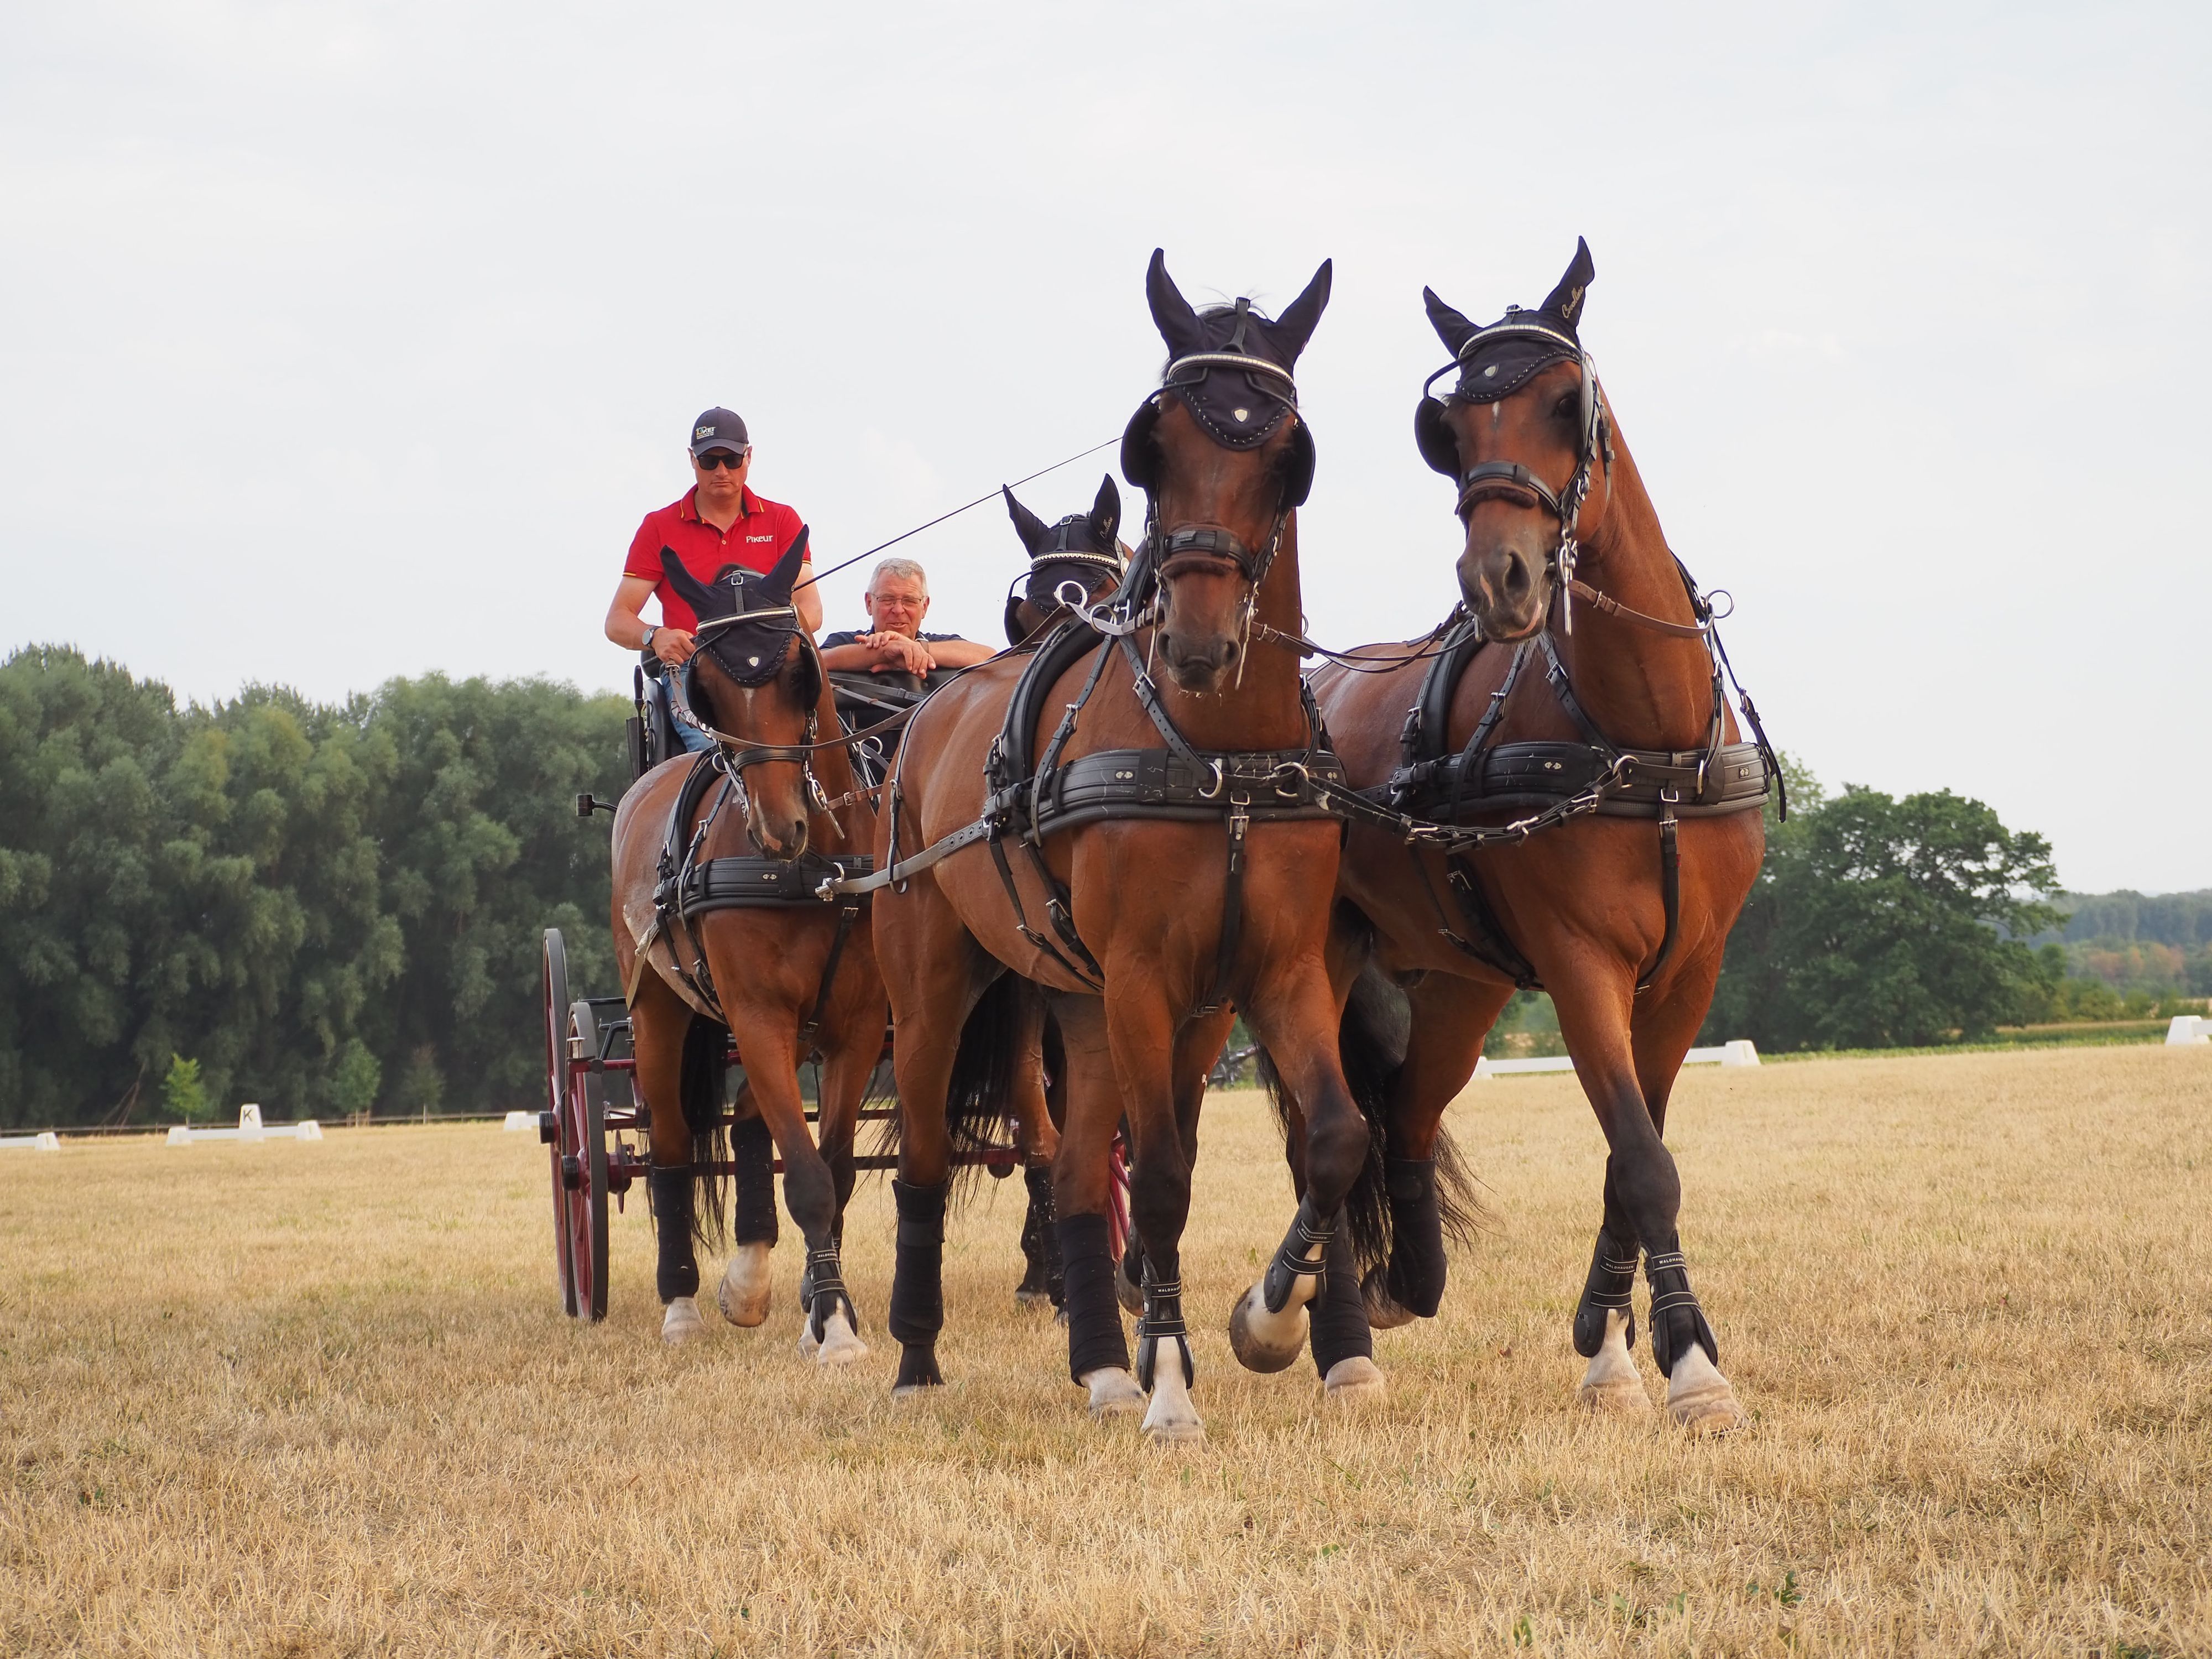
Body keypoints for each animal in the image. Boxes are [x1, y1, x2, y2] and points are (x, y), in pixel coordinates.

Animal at [608, 535, 887, 1365]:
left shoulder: (857, 1027)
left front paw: (829, 1310)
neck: (814, 865)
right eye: (706, 690)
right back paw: (682, 1304)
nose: (775, 826)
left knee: (744, 1125)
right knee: (671, 1144)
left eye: (798, 672)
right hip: (660, 1010)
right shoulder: (758, 1014)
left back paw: (751, 1281)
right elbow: (806, 1177)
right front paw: (832, 1331)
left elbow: (833, 1170)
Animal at [867, 251, 1384, 1443]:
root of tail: (924, 715)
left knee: (1066, 1167)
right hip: (937, 986)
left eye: (1286, 458)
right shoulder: (1148, 979)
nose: (1198, 640)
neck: (1217, 757)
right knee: (925, 1160)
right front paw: (1172, 1390)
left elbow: (1329, 1139)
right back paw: (916, 1357)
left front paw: (1262, 1324)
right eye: (1156, 446)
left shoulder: (1265, 978)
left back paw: (1100, 1362)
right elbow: (1157, 1181)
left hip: (1081, 1002)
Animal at [1303, 239, 1772, 1432]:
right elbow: (1644, 1162)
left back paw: (1407, 1279)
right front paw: (1689, 1365)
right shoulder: (1578, 961)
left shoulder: (1690, 971)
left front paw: (1610, 1345)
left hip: (1459, 979)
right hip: (1309, 958)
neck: (1640, 739)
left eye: (1566, 402)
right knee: (1322, 1131)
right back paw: (1335, 1335)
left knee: (1406, 1113)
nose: (1498, 578)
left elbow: (1629, 1156)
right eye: (1453, 431)